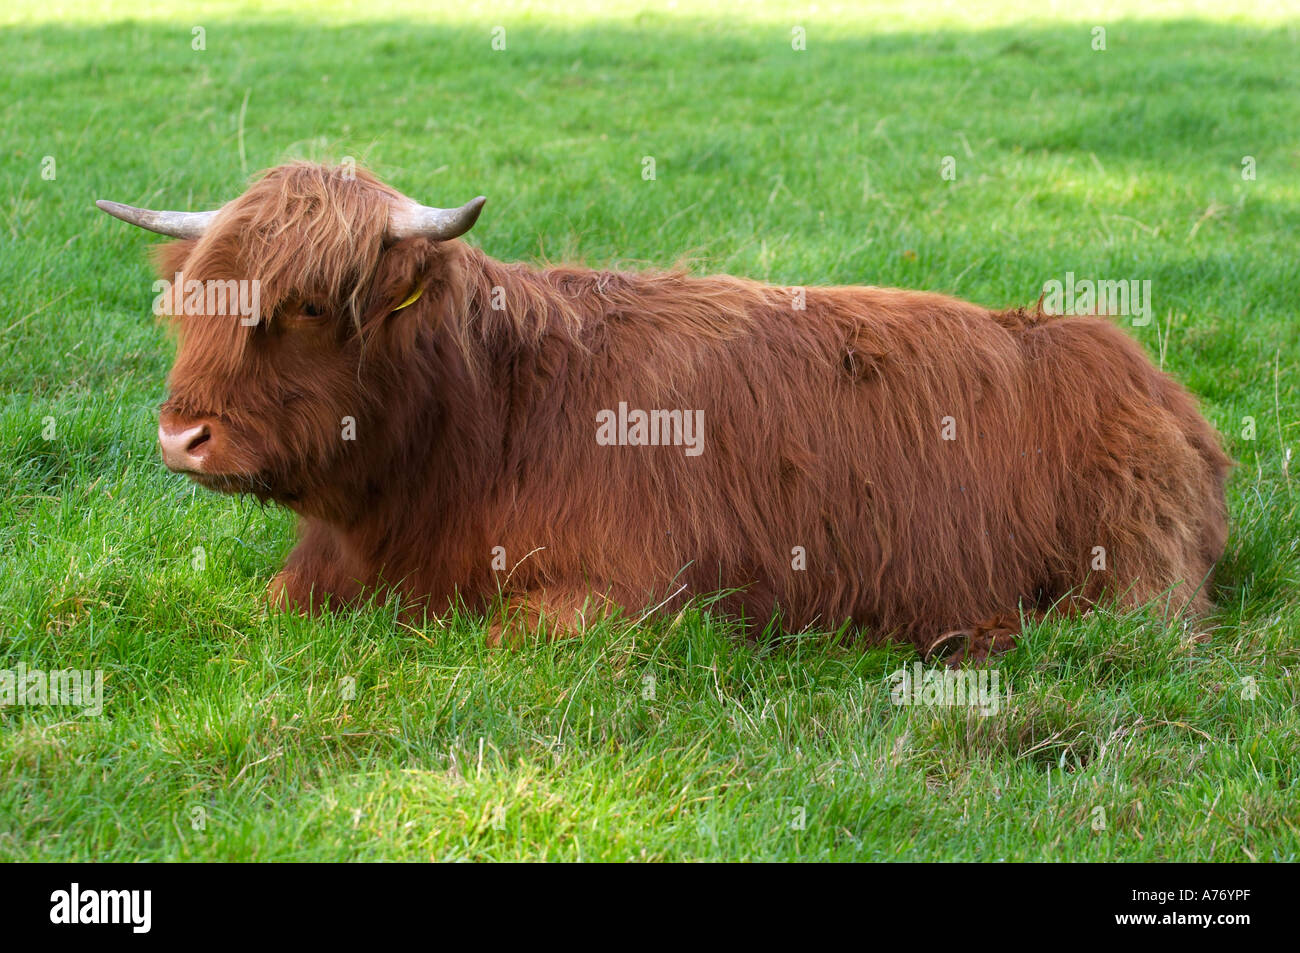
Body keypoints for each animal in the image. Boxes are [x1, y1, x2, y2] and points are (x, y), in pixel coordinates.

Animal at [98, 162, 1231, 664]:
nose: (181, 435)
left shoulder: (632, 596)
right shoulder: (316, 576)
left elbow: (499, 630)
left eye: (306, 304)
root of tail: (1145, 372)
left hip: (1132, 570)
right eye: (189, 301)